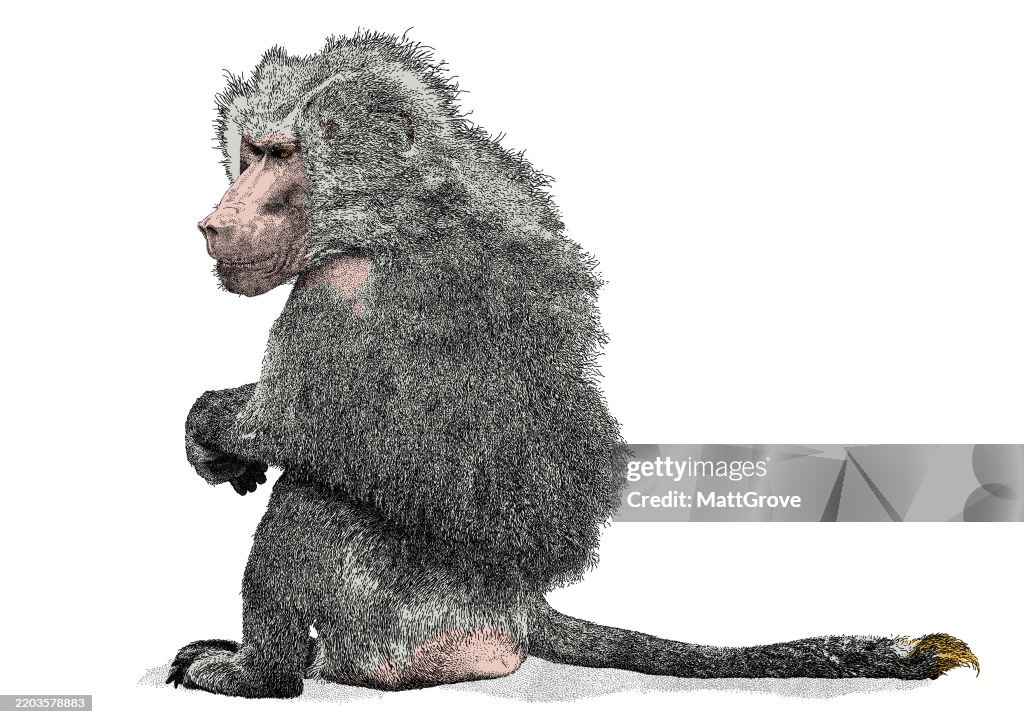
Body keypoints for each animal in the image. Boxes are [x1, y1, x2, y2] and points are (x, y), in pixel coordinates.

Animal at [168, 32, 978, 698]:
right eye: (251, 152)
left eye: (282, 156)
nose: (215, 222)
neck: (402, 205)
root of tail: (519, 610)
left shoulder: (343, 289)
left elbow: (296, 427)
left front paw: (212, 424)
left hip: (408, 619)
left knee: (309, 504)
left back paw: (262, 675)